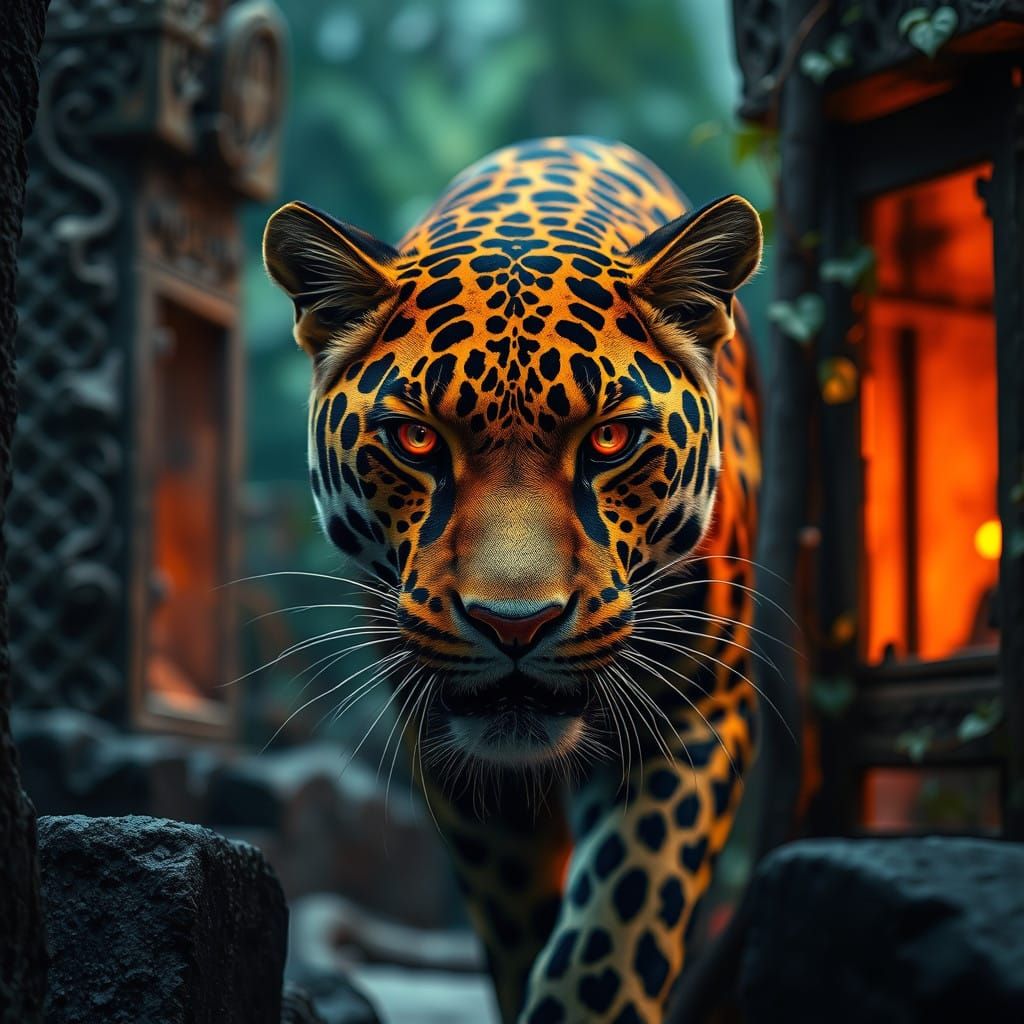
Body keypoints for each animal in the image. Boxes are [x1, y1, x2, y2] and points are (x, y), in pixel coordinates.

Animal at [262, 136, 762, 1024]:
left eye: (610, 440)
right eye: (417, 440)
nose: (515, 624)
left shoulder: (699, 711)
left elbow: (621, 917)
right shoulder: (451, 747)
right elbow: (518, 923)